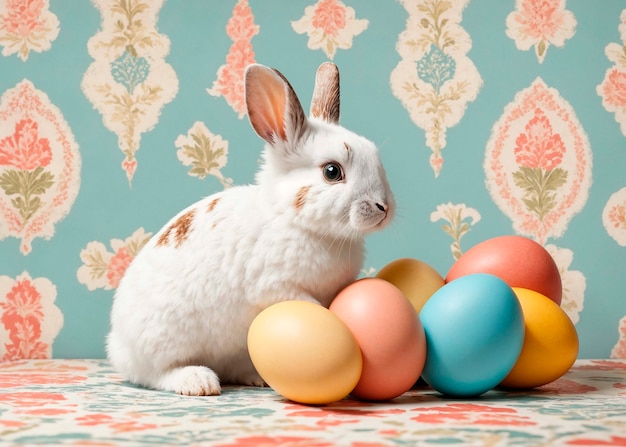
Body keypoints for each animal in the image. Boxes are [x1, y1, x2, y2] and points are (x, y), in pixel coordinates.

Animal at [105, 62, 392, 396]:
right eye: (332, 172)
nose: (384, 207)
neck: (295, 220)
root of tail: (117, 345)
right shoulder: (276, 286)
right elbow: (311, 306)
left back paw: (255, 376)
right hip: (163, 341)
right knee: (155, 374)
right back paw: (199, 382)